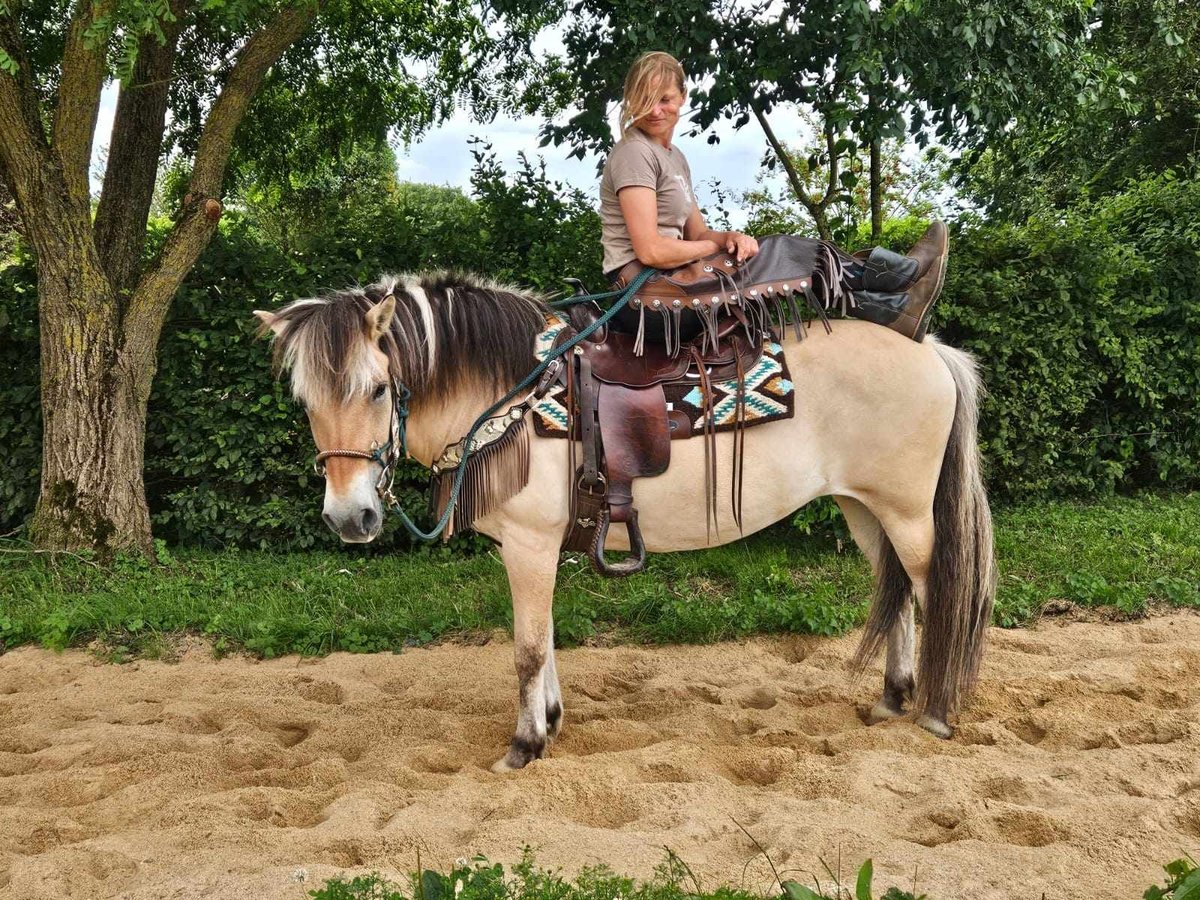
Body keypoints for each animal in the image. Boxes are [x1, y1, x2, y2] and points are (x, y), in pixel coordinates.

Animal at [255, 271, 993, 772]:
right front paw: (551, 720)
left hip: (905, 510)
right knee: (895, 592)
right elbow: (547, 637)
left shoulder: (528, 544)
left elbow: (527, 647)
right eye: (304, 400)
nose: (350, 517)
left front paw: (524, 745)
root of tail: (929, 350)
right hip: (865, 507)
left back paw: (933, 711)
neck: (513, 395)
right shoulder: (535, 550)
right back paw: (892, 699)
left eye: (378, 389)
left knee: (932, 589)